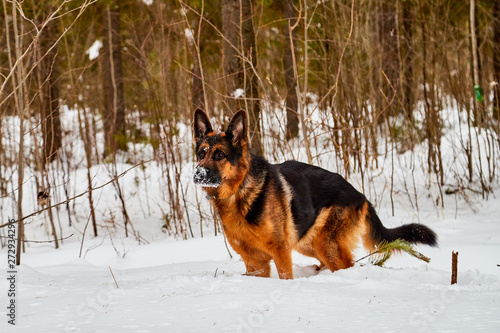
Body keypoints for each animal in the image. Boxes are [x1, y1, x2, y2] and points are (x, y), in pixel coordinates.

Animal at [193, 109, 436, 278]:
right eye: (201, 154)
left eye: (220, 155)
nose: (198, 173)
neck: (240, 192)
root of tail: (361, 195)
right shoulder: (254, 262)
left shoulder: (281, 252)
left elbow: (286, 277)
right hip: (309, 244)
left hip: (326, 244)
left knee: (347, 266)